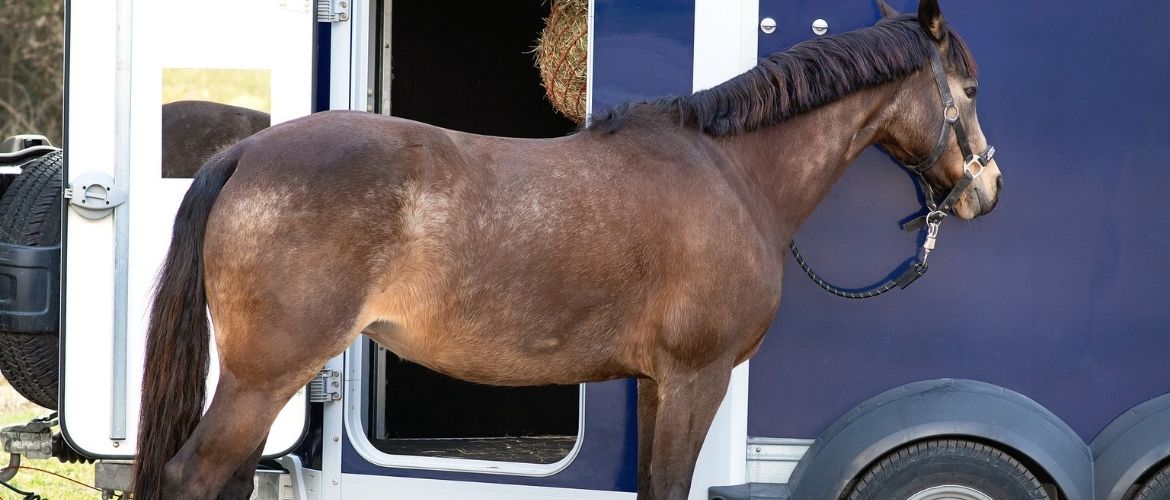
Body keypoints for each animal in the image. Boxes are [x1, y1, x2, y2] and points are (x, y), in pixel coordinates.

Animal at [134, 1, 996, 498]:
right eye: (971, 90)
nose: (985, 189)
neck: (729, 173)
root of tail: (247, 153)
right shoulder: (698, 378)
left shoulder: (657, 384)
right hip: (264, 375)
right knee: (192, 475)